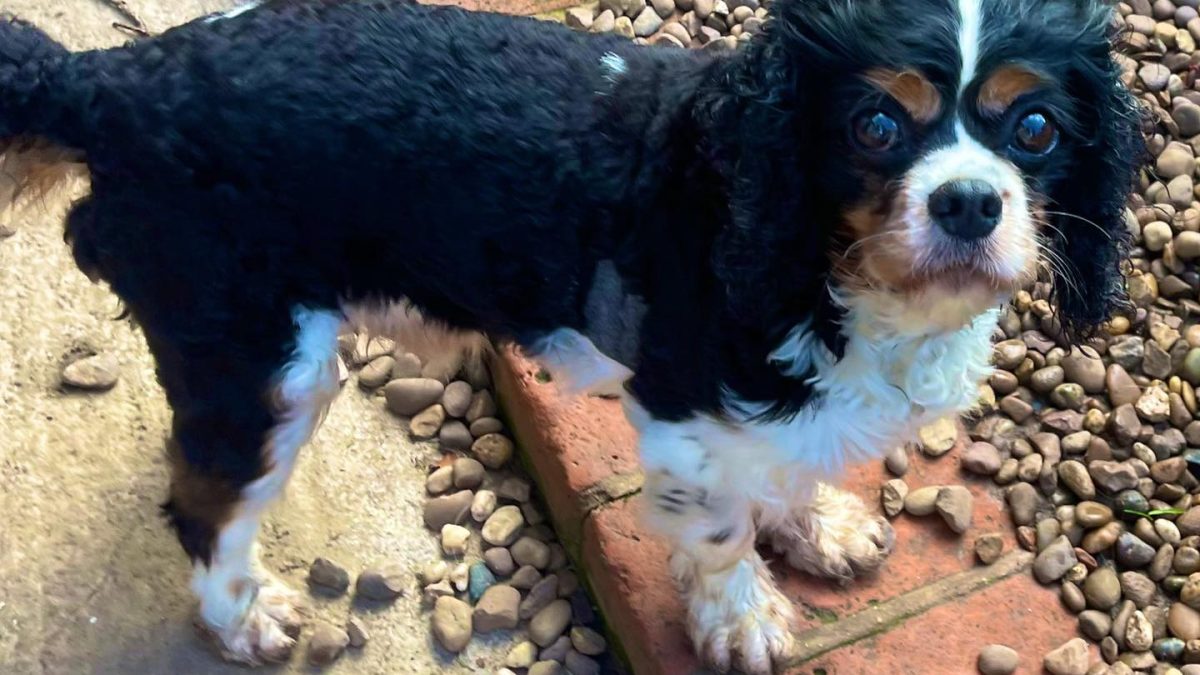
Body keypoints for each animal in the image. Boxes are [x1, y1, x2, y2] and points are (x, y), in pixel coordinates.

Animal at [0, 0, 1142, 667]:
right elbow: (720, 532)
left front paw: (816, 525)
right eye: (875, 125)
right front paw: (742, 619)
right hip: (265, 366)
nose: (968, 203)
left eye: (1034, 128)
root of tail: (112, 83)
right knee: (204, 504)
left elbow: (788, 462)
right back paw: (245, 617)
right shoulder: (683, 410)